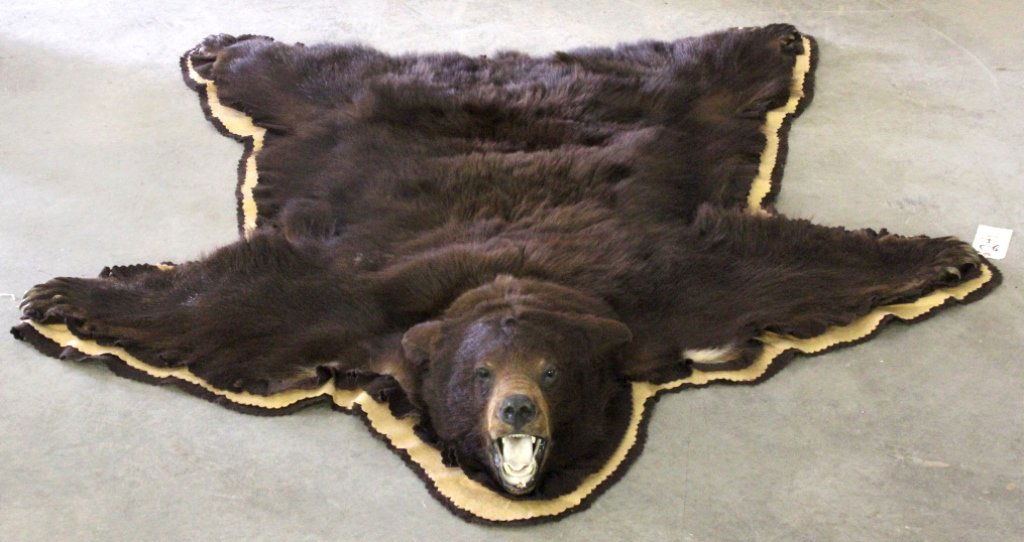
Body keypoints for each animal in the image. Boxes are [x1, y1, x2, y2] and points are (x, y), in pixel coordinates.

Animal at [17, 24, 987, 498]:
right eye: (480, 374)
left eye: (552, 372)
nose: (517, 408)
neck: (511, 283)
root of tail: (501, 68)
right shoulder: (360, 294)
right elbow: (245, 302)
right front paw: (63, 295)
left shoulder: (662, 287)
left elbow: (770, 269)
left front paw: (942, 256)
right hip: (347, 107)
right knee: (296, 72)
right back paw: (218, 48)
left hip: (674, 104)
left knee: (713, 68)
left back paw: (781, 36)